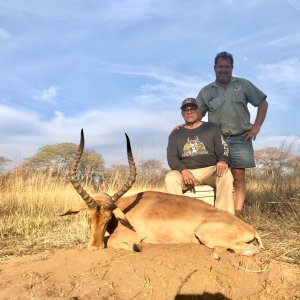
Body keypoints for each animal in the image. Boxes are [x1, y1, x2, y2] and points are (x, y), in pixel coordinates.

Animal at [62, 130, 264, 258]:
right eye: (88, 217)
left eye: (107, 217)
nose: (94, 248)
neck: (127, 210)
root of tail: (250, 228)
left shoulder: (128, 237)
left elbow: (111, 242)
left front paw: (136, 248)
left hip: (205, 234)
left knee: (251, 249)